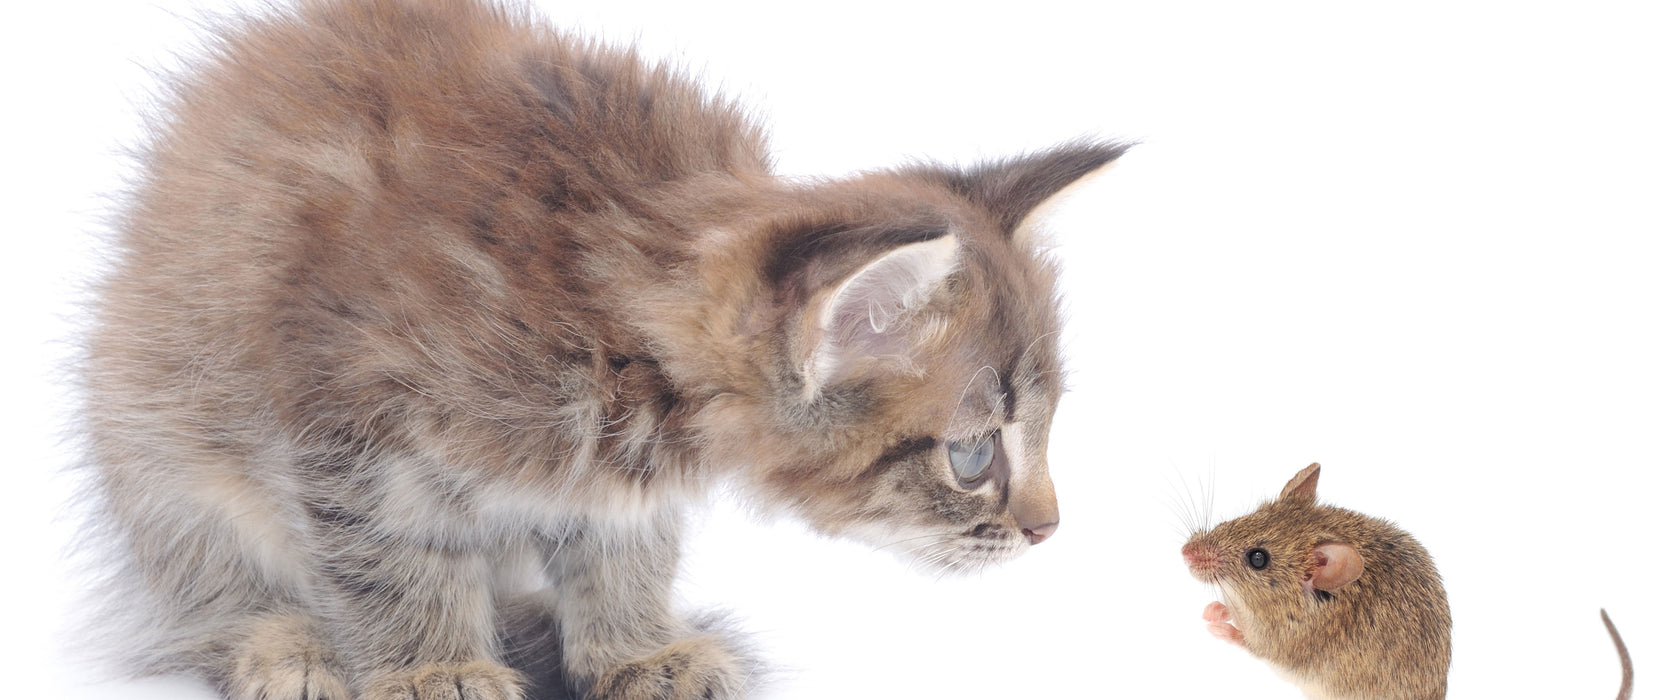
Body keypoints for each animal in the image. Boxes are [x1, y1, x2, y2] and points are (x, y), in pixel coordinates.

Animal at [78, 1, 1128, 698]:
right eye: (973, 454)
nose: (1051, 529)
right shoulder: (347, 418)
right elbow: (388, 556)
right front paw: (432, 667)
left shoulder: (623, 483)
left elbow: (621, 548)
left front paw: (635, 650)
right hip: (160, 438)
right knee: (204, 601)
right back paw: (288, 645)